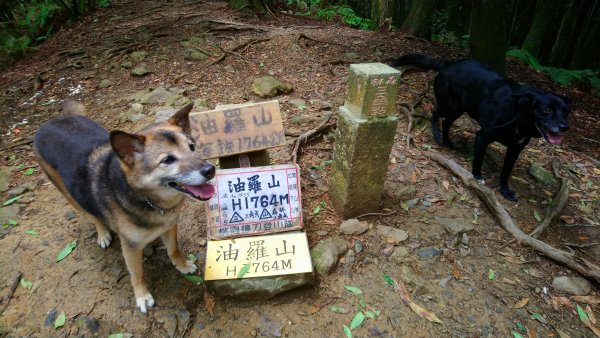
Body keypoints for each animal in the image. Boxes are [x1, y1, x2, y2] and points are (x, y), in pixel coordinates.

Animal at [33, 101, 216, 314]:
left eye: (192, 147)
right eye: (168, 160)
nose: (210, 170)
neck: (147, 199)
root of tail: (55, 120)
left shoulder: (169, 226)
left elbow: (174, 250)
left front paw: (183, 265)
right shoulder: (130, 246)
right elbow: (137, 274)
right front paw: (142, 296)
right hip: (70, 195)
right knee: (93, 214)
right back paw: (103, 234)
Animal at [392, 53, 568, 201]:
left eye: (566, 111)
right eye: (547, 109)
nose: (565, 127)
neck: (517, 116)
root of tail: (447, 63)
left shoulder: (515, 149)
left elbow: (506, 172)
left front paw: (505, 190)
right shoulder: (483, 137)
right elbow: (478, 159)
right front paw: (477, 177)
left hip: (460, 109)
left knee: (446, 122)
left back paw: (447, 141)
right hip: (451, 106)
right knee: (435, 113)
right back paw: (437, 135)